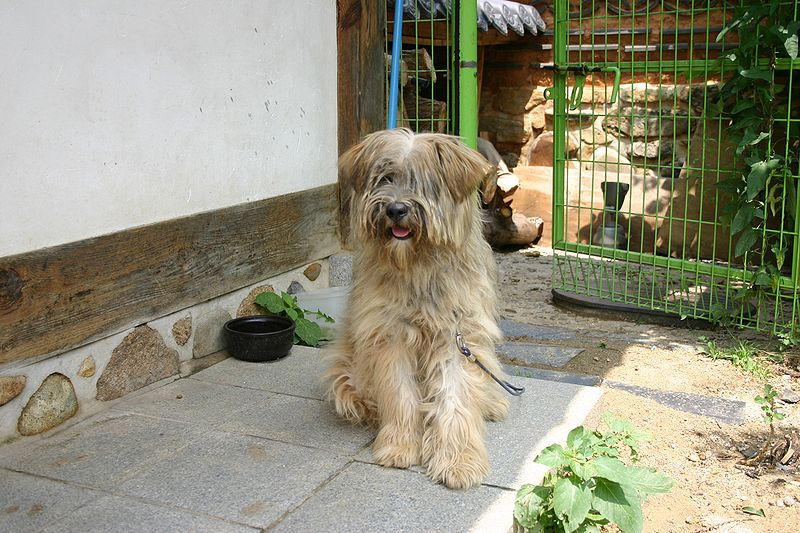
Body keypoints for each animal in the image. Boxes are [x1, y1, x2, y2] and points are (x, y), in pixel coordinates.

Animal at [328, 128, 510, 486]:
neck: (418, 266)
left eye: (424, 183)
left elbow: (456, 396)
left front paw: (459, 461)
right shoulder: (390, 335)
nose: (396, 209)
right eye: (385, 178)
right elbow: (400, 393)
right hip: (347, 372)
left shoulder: (457, 336)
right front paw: (399, 445)